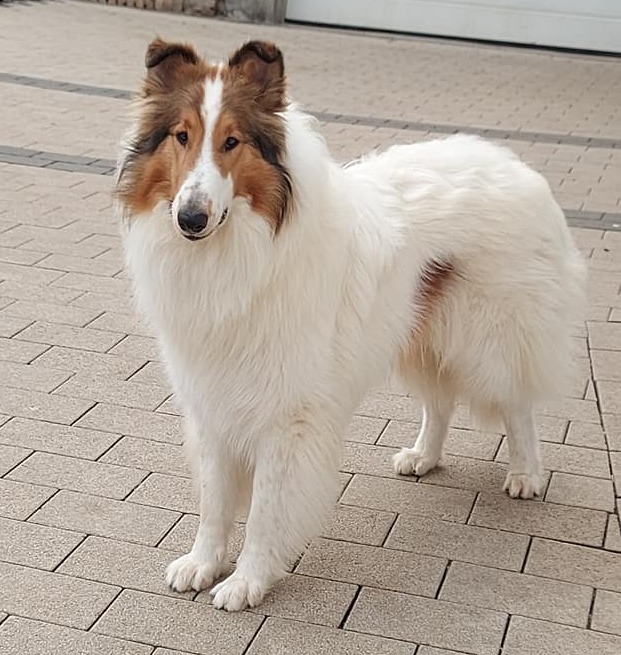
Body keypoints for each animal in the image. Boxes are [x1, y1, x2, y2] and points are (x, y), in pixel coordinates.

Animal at [117, 38, 585, 611]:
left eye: (231, 141)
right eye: (181, 136)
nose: (190, 219)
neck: (245, 251)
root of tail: (511, 162)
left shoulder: (286, 413)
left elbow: (266, 509)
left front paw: (247, 581)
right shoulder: (212, 399)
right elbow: (214, 498)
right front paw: (202, 563)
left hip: (486, 336)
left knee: (517, 405)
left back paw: (525, 475)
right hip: (419, 331)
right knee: (440, 401)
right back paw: (423, 457)